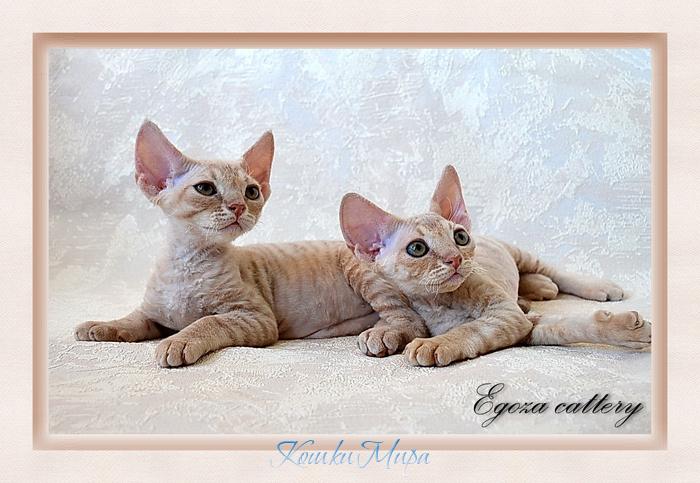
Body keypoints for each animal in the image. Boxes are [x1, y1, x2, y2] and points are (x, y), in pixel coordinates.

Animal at [74, 121, 429, 367]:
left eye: (251, 191)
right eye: (205, 188)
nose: (238, 207)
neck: (187, 263)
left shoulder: (255, 317)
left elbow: (208, 320)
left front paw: (180, 340)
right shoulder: (155, 314)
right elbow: (134, 319)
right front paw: (104, 325)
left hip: (363, 275)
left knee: (411, 321)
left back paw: (384, 334)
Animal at [339, 165, 652, 366]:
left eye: (460, 237)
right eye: (417, 249)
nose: (455, 258)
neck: (439, 304)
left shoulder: (507, 316)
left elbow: (472, 329)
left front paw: (437, 343)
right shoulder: (524, 324)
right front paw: (384, 331)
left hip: (520, 253)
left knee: (555, 272)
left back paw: (592, 286)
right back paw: (538, 289)